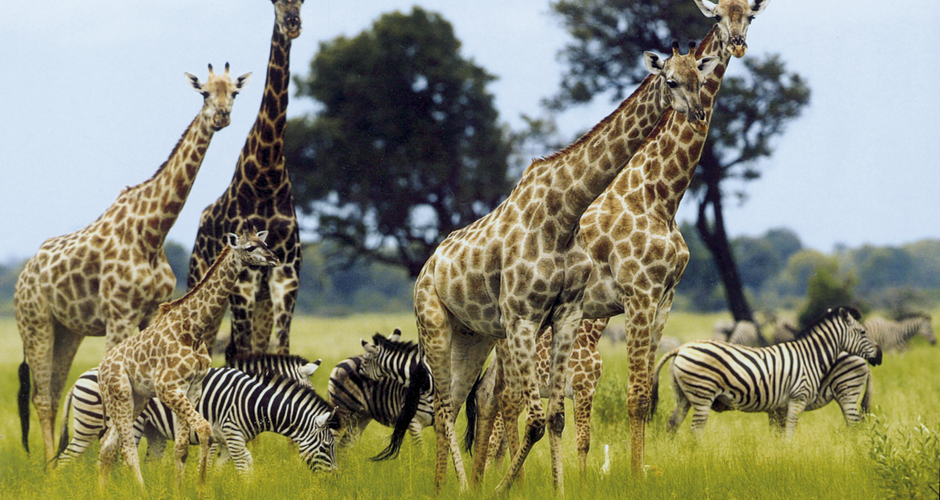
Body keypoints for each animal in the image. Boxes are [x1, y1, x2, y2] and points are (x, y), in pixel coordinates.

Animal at [56, 366, 337, 473]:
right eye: (326, 447)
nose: (334, 480)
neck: (252, 402)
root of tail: (82, 375)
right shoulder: (230, 434)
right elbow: (243, 465)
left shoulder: (225, 441)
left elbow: (219, 469)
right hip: (97, 426)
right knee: (68, 459)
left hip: (149, 430)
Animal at [650, 306, 882, 434]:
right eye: (863, 332)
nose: (879, 356)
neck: (811, 356)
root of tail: (681, 348)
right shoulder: (796, 399)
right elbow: (789, 435)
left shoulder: (780, 406)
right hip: (701, 394)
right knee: (695, 431)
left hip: (684, 396)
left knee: (672, 425)